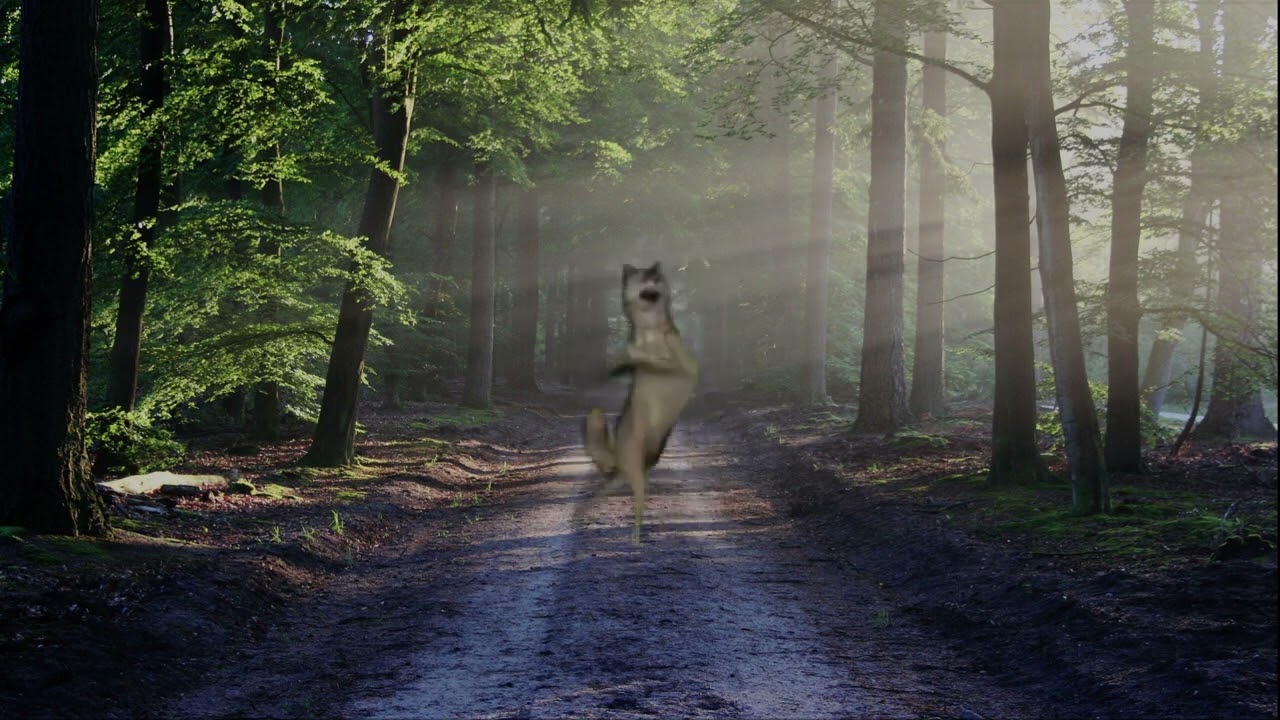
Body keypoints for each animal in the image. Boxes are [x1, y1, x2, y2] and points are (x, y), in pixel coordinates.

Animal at [581, 262, 698, 543]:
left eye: (656, 277)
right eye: (645, 279)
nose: (654, 282)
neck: (651, 330)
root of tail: (619, 462)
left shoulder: (687, 370)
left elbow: (657, 359)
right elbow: (639, 357)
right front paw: (621, 363)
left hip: (634, 478)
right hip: (634, 473)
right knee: (629, 507)